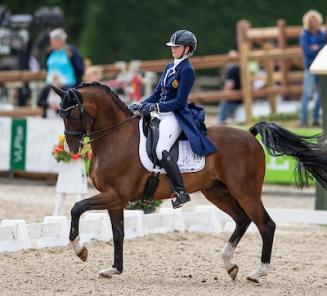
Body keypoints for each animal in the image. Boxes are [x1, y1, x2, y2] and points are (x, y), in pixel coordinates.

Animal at [52, 81, 327, 284]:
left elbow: (76, 207)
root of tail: (250, 135)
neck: (116, 137)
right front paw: (114, 269)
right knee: (242, 220)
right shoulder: (115, 198)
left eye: (73, 113)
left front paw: (80, 250)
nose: (72, 148)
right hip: (218, 192)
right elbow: (118, 234)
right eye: (60, 114)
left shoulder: (116, 195)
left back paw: (258, 273)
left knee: (266, 225)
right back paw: (229, 264)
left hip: (246, 191)